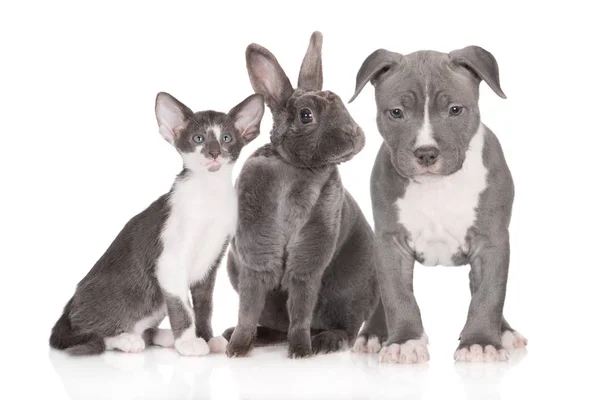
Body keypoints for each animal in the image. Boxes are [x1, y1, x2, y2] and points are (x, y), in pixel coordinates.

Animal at [50, 93, 266, 356]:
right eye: (198, 138)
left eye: (227, 138)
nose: (214, 153)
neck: (208, 193)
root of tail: (68, 307)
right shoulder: (169, 264)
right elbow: (183, 308)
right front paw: (188, 342)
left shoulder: (210, 263)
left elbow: (203, 305)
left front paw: (206, 337)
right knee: (91, 333)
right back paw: (126, 339)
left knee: (144, 328)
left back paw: (163, 336)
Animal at [223, 29, 386, 358]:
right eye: (305, 115)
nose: (354, 135)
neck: (295, 167)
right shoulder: (256, 253)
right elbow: (248, 306)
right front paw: (237, 348)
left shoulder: (310, 251)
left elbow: (300, 304)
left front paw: (300, 351)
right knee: (273, 323)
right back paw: (246, 335)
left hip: (347, 295)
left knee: (345, 329)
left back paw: (325, 341)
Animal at [350, 46, 528, 362]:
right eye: (396, 112)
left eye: (455, 110)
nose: (426, 153)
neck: (437, 186)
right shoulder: (390, 243)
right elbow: (397, 295)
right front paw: (404, 341)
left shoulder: (491, 242)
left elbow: (489, 294)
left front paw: (481, 342)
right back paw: (373, 333)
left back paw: (504, 332)